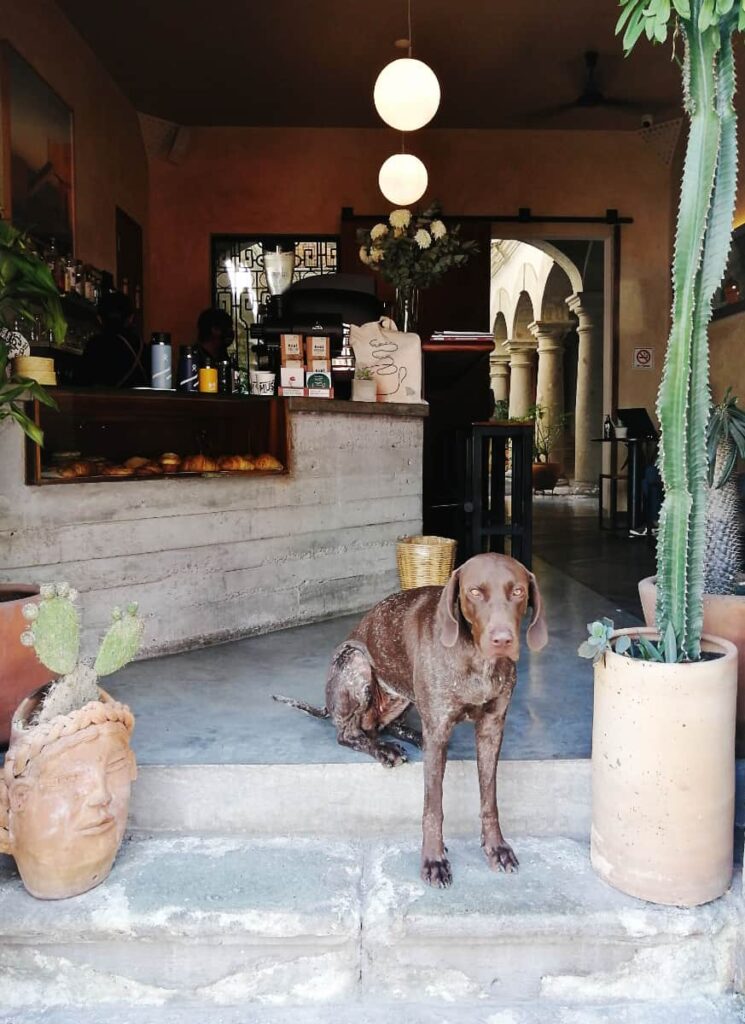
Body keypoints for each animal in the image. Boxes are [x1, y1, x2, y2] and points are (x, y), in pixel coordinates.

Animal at [274, 557, 548, 884]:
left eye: (518, 591)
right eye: (474, 592)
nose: (502, 640)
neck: (476, 660)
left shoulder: (492, 728)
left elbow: (489, 799)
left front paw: (496, 847)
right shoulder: (440, 729)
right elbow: (433, 806)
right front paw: (434, 859)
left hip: (406, 695)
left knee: (385, 725)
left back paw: (412, 737)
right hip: (356, 662)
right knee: (350, 733)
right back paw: (383, 748)